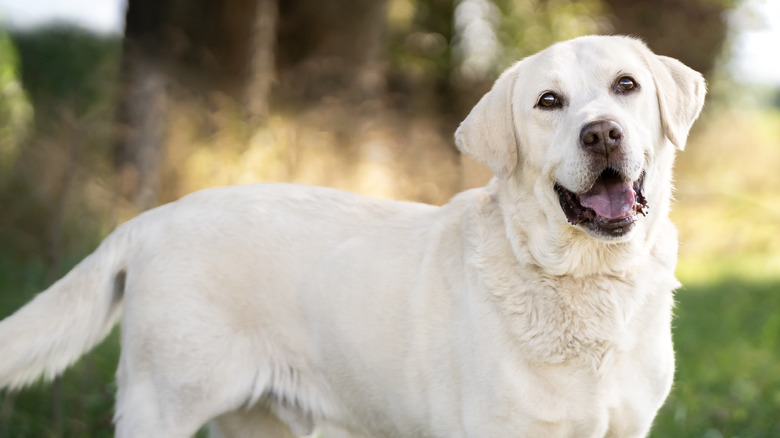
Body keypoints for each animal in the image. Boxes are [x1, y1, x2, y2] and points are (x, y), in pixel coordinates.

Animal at [0, 35, 704, 438]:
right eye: (548, 102)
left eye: (626, 86)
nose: (603, 133)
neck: (585, 281)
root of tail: (147, 221)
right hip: (163, 407)